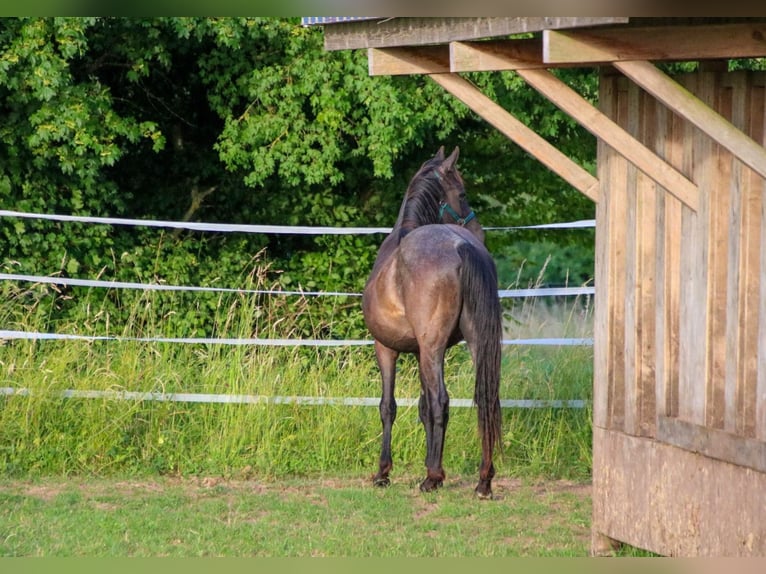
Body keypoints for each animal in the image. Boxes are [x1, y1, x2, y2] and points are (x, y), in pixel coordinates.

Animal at [362, 146, 503, 499]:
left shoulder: (386, 348)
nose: (479, 231)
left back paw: (433, 477)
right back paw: (483, 481)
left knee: (442, 400)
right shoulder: (419, 351)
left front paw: (383, 472)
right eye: (462, 193)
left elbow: (389, 406)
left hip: (430, 348)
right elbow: (424, 408)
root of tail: (461, 245)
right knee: (486, 398)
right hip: (470, 343)